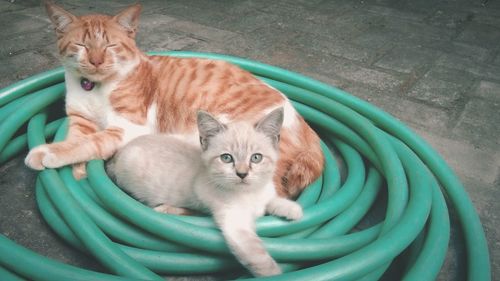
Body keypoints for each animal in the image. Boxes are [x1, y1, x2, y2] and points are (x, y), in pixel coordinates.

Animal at [25, 2, 324, 199]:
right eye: (82, 46)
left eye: (110, 46)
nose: (96, 61)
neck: (94, 86)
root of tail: (308, 132)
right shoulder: (79, 120)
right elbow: (76, 142)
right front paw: (78, 175)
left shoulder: (127, 127)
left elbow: (89, 143)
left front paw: (46, 153)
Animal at [107, 107, 302, 276]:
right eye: (226, 158)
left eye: (256, 158)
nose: (242, 174)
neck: (249, 194)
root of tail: (119, 153)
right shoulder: (235, 224)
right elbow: (259, 257)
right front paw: (275, 275)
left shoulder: (263, 194)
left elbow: (272, 200)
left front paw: (293, 210)